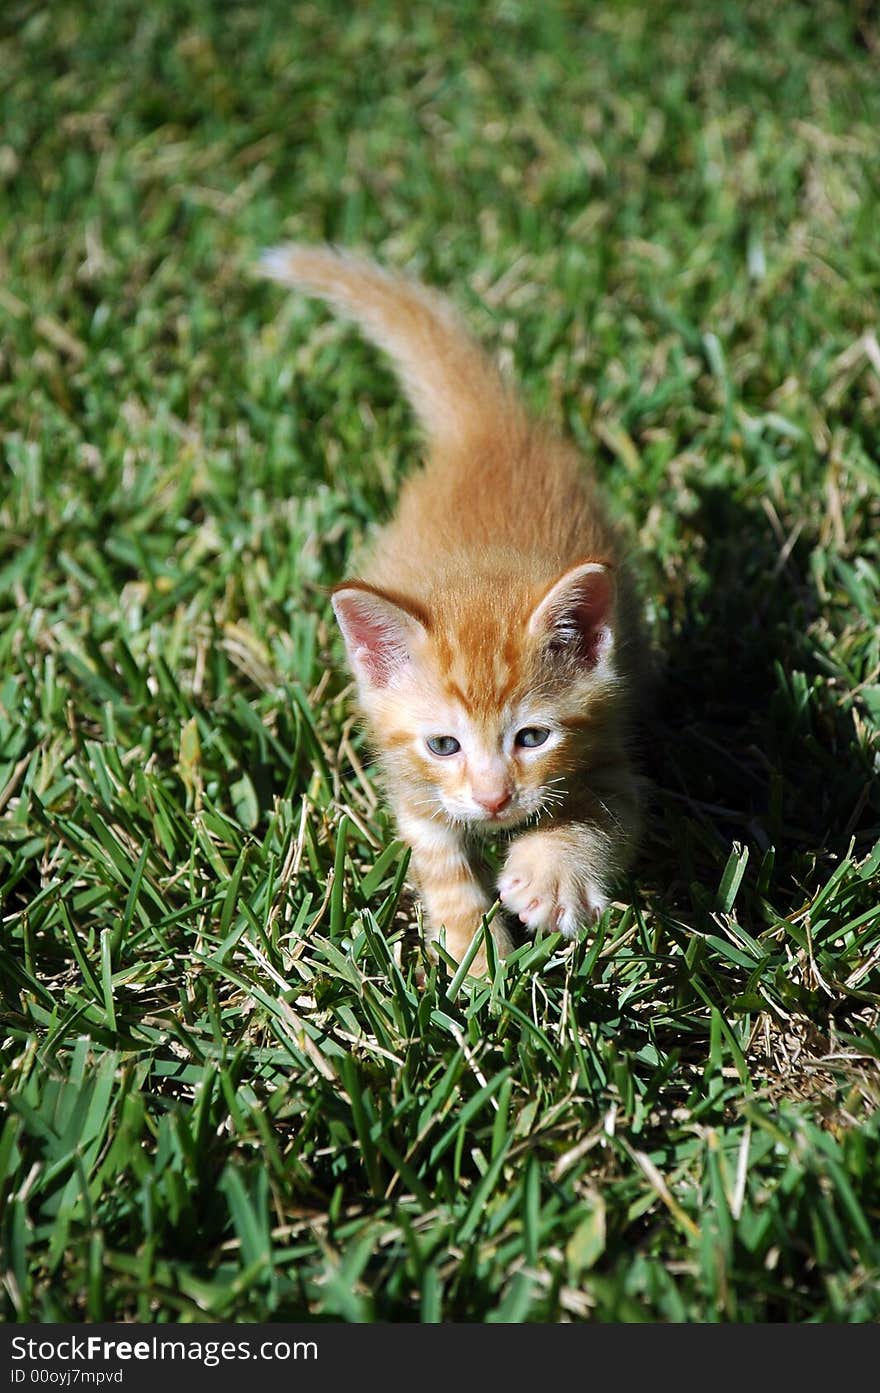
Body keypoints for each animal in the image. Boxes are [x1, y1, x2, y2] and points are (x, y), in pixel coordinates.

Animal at [258, 247, 640, 969]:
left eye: (532, 737)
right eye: (444, 744)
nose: (494, 798)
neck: (477, 570)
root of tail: (488, 430)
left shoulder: (615, 742)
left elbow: (599, 814)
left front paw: (551, 875)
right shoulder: (412, 785)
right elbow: (440, 863)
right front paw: (478, 958)